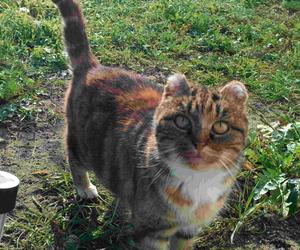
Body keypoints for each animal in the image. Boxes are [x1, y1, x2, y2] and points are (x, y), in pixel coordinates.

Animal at [52, 0, 248, 249]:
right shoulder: (152, 232)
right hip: (81, 143)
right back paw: (85, 188)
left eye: (220, 126)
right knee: (74, 160)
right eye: (181, 121)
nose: (199, 143)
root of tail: (93, 67)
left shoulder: (189, 230)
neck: (197, 183)